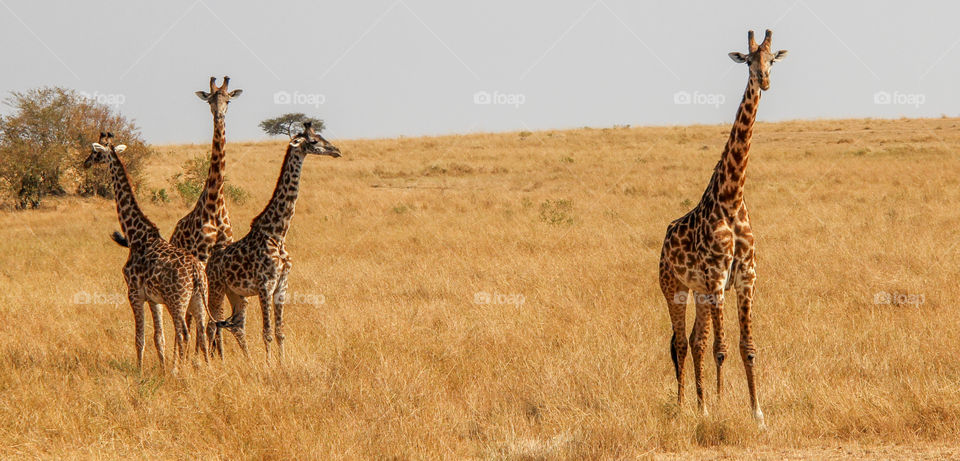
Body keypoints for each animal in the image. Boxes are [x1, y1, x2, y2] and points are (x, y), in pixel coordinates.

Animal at [85, 131, 211, 368]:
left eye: (95, 152)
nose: (86, 162)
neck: (136, 234)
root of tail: (196, 273)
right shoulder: (153, 299)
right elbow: (158, 337)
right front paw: (161, 369)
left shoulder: (134, 293)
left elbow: (139, 337)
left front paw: (140, 371)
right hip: (199, 298)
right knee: (202, 332)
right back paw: (207, 370)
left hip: (177, 300)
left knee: (184, 333)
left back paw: (179, 371)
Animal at [206, 122, 342, 360]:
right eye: (313, 141)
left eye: (321, 135)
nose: (336, 150)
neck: (278, 234)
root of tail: (208, 262)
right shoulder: (265, 285)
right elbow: (267, 332)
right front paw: (269, 364)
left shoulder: (282, 285)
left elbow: (280, 332)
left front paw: (281, 363)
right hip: (216, 287)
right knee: (212, 325)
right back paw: (212, 362)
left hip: (236, 293)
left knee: (235, 325)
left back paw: (248, 361)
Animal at [660, 29, 788, 424]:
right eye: (747, 61)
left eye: (771, 59)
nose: (764, 80)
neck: (732, 198)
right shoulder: (717, 278)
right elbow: (722, 347)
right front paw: (718, 407)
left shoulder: (746, 277)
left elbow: (746, 346)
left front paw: (757, 413)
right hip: (675, 288)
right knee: (680, 343)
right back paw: (685, 406)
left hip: (700, 294)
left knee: (694, 342)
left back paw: (699, 404)